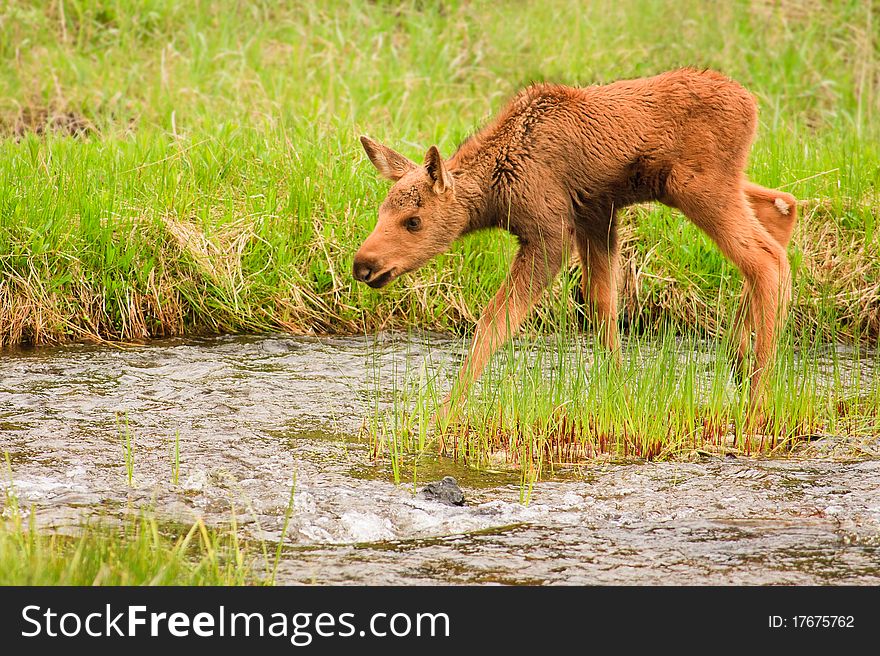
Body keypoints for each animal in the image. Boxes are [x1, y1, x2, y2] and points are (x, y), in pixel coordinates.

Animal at [352, 69, 796, 422]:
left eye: (413, 221)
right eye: (380, 211)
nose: (363, 265)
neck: (498, 188)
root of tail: (752, 104)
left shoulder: (551, 233)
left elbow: (495, 322)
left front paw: (442, 414)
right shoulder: (596, 215)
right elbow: (602, 308)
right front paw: (619, 393)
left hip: (696, 184)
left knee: (765, 257)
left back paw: (757, 398)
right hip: (711, 184)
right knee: (783, 207)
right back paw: (738, 360)